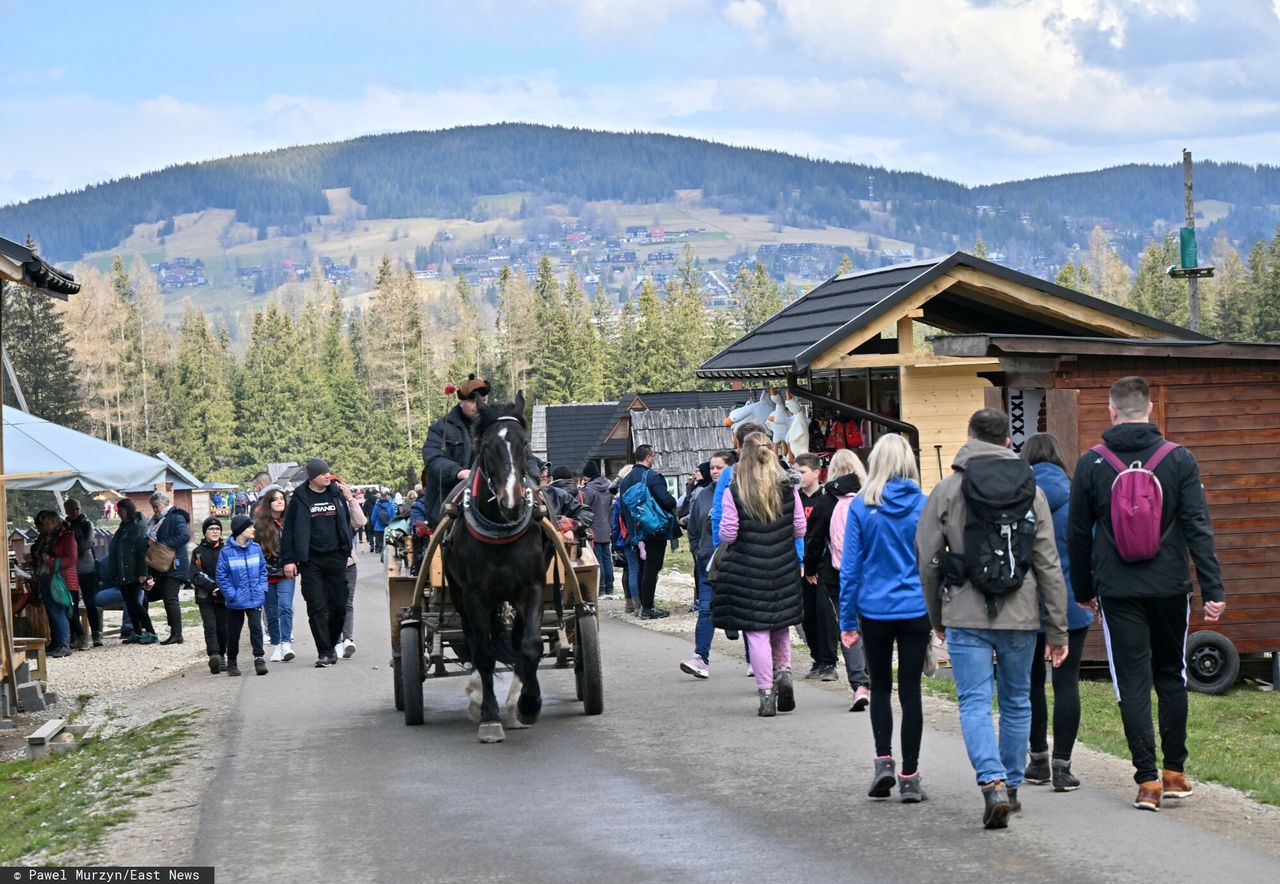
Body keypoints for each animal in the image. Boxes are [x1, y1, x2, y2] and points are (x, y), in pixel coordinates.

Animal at [440, 391, 550, 741]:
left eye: (525, 443)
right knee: (476, 642)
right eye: (487, 446)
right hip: (461, 596)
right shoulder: (474, 595)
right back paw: (478, 698)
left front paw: (528, 704)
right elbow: (485, 653)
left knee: (517, 642)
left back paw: (516, 701)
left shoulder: (532, 588)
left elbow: (530, 646)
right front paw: (489, 715)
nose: (511, 503)